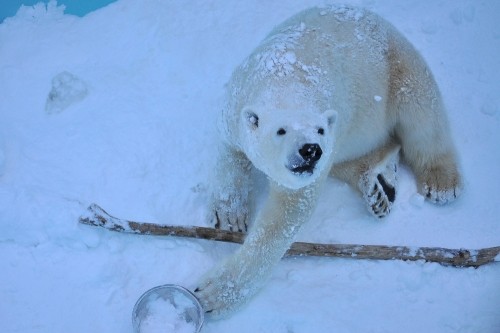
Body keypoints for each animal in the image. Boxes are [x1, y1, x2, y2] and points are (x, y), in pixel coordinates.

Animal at [193, 5, 462, 316]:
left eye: (319, 129)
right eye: (281, 130)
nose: (310, 150)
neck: (285, 77)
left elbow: (285, 214)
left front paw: (212, 293)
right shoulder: (236, 108)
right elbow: (230, 153)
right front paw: (229, 216)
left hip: (399, 67)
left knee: (423, 117)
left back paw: (441, 183)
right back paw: (378, 185)